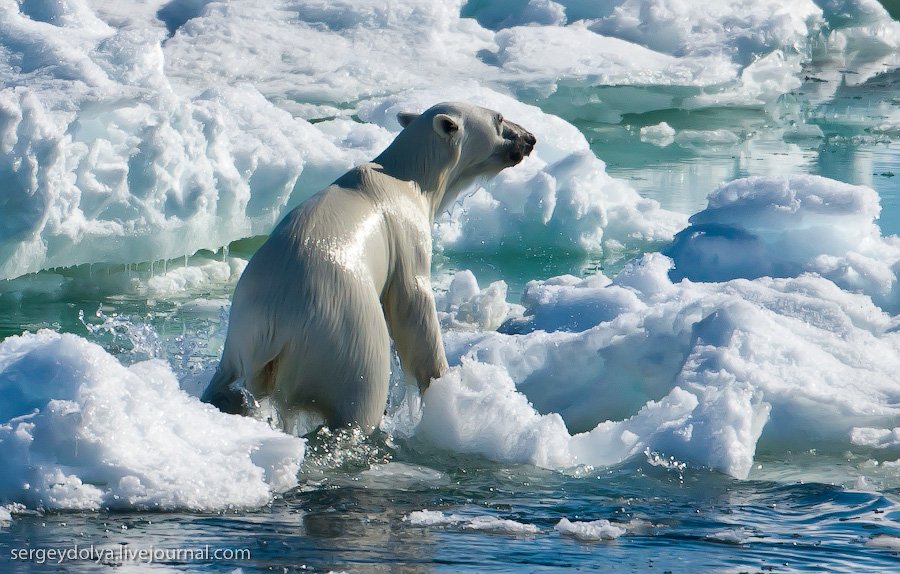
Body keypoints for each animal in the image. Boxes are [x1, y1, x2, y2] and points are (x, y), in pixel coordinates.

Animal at [204, 102, 536, 432]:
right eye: (499, 118)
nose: (530, 138)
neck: (409, 177)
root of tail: (274, 329)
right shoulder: (405, 232)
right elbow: (412, 303)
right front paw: (444, 381)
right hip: (346, 340)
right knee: (361, 399)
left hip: (238, 342)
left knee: (224, 387)